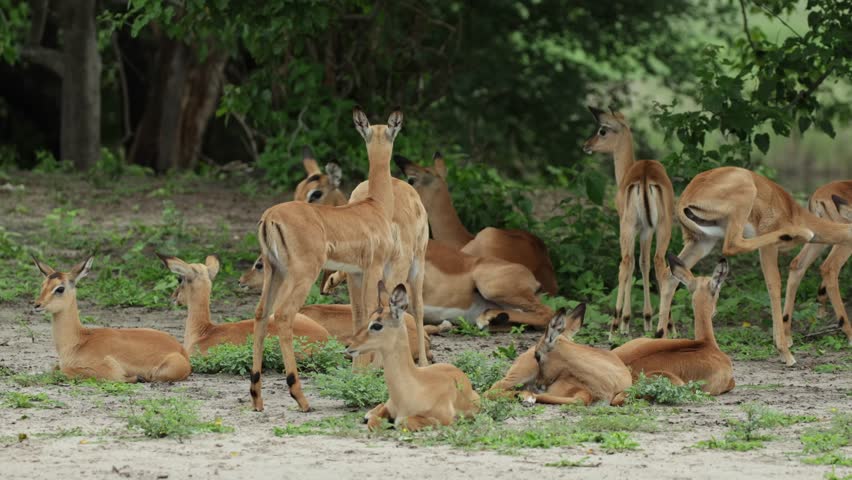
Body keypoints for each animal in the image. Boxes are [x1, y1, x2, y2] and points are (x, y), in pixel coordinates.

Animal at [31, 256, 190, 382]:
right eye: (43, 285)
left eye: (60, 288)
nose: (37, 305)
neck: (78, 341)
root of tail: (181, 350)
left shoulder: (109, 371)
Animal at [250, 107, 422, 413]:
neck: (376, 206)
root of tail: (270, 217)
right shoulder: (372, 268)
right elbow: (370, 312)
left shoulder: (356, 273)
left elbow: (360, 316)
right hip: (302, 275)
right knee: (283, 315)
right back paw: (301, 398)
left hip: (274, 273)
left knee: (261, 314)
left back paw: (257, 398)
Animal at [583, 107, 675, 338]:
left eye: (603, 130)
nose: (586, 145)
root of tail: (644, 177)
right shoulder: (647, 230)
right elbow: (644, 263)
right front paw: (648, 319)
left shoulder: (633, 229)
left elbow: (633, 263)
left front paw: (626, 321)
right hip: (664, 228)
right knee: (661, 265)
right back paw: (667, 328)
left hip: (628, 228)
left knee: (624, 263)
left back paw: (614, 328)